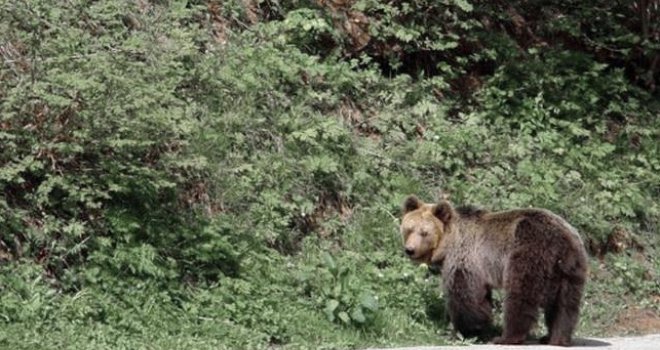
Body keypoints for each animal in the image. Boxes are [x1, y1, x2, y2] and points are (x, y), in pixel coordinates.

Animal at [402, 196, 588, 346]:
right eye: (409, 229)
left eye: (424, 232)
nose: (410, 250)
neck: (447, 244)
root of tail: (562, 238)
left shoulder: (466, 258)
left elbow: (465, 296)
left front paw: (466, 332)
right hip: (570, 268)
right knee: (565, 304)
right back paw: (555, 338)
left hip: (528, 252)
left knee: (519, 296)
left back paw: (507, 337)